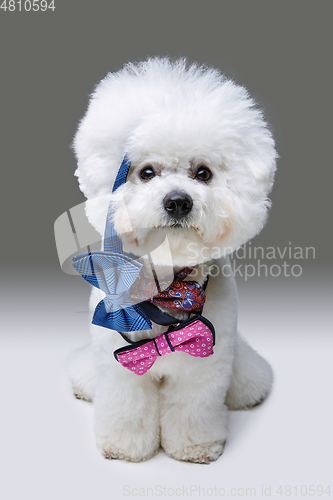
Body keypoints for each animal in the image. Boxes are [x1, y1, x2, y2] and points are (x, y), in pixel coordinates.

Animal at [67, 58, 274, 464]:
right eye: (146, 172)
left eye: (203, 173)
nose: (178, 201)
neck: (168, 287)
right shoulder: (120, 367)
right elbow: (126, 407)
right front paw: (125, 446)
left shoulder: (204, 364)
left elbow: (193, 410)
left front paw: (195, 446)